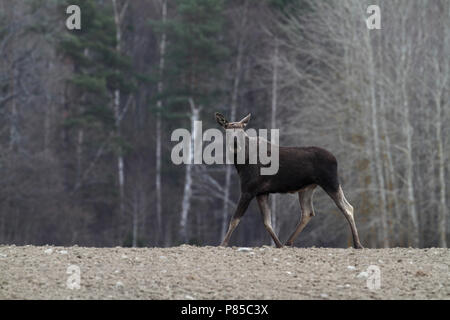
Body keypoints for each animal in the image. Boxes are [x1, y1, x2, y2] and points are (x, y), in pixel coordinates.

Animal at [214, 112, 362, 250]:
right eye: (228, 130)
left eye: (241, 131)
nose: (235, 144)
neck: (240, 163)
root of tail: (335, 159)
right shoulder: (261, 192)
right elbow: (267, 222)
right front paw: (278, 245)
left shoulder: (248, 190)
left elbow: (235, 219)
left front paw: (222, 244)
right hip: (307, 188)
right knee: (308, 212)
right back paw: (288, 242)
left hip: (330, 182)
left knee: (348, 208)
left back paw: (358, 244)